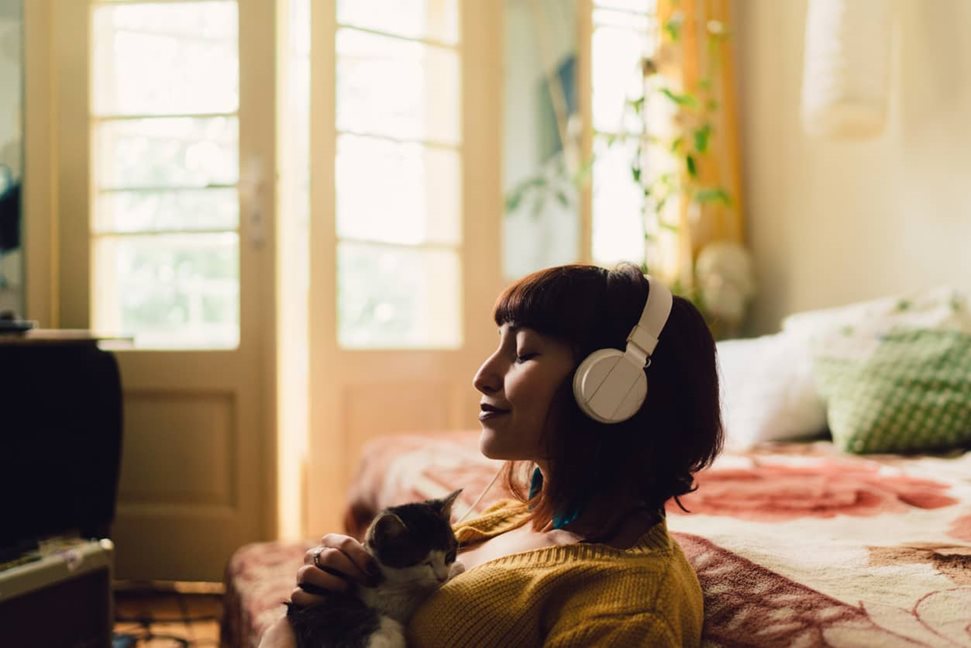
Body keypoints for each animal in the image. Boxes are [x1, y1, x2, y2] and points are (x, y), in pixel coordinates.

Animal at [286, 492, 466, 648]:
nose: (442, 577)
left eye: (449, 555)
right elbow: (418, 596)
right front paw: (456, 569)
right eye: (423, 562)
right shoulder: (386, 601)